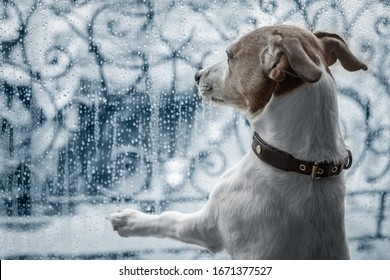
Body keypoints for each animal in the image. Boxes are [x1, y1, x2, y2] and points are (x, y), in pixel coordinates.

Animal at [108, 25, 368, 260]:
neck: (300, 163)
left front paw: (129, 220)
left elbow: (169, 218)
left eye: (230, 56)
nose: (196, 75)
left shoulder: (207, 225)